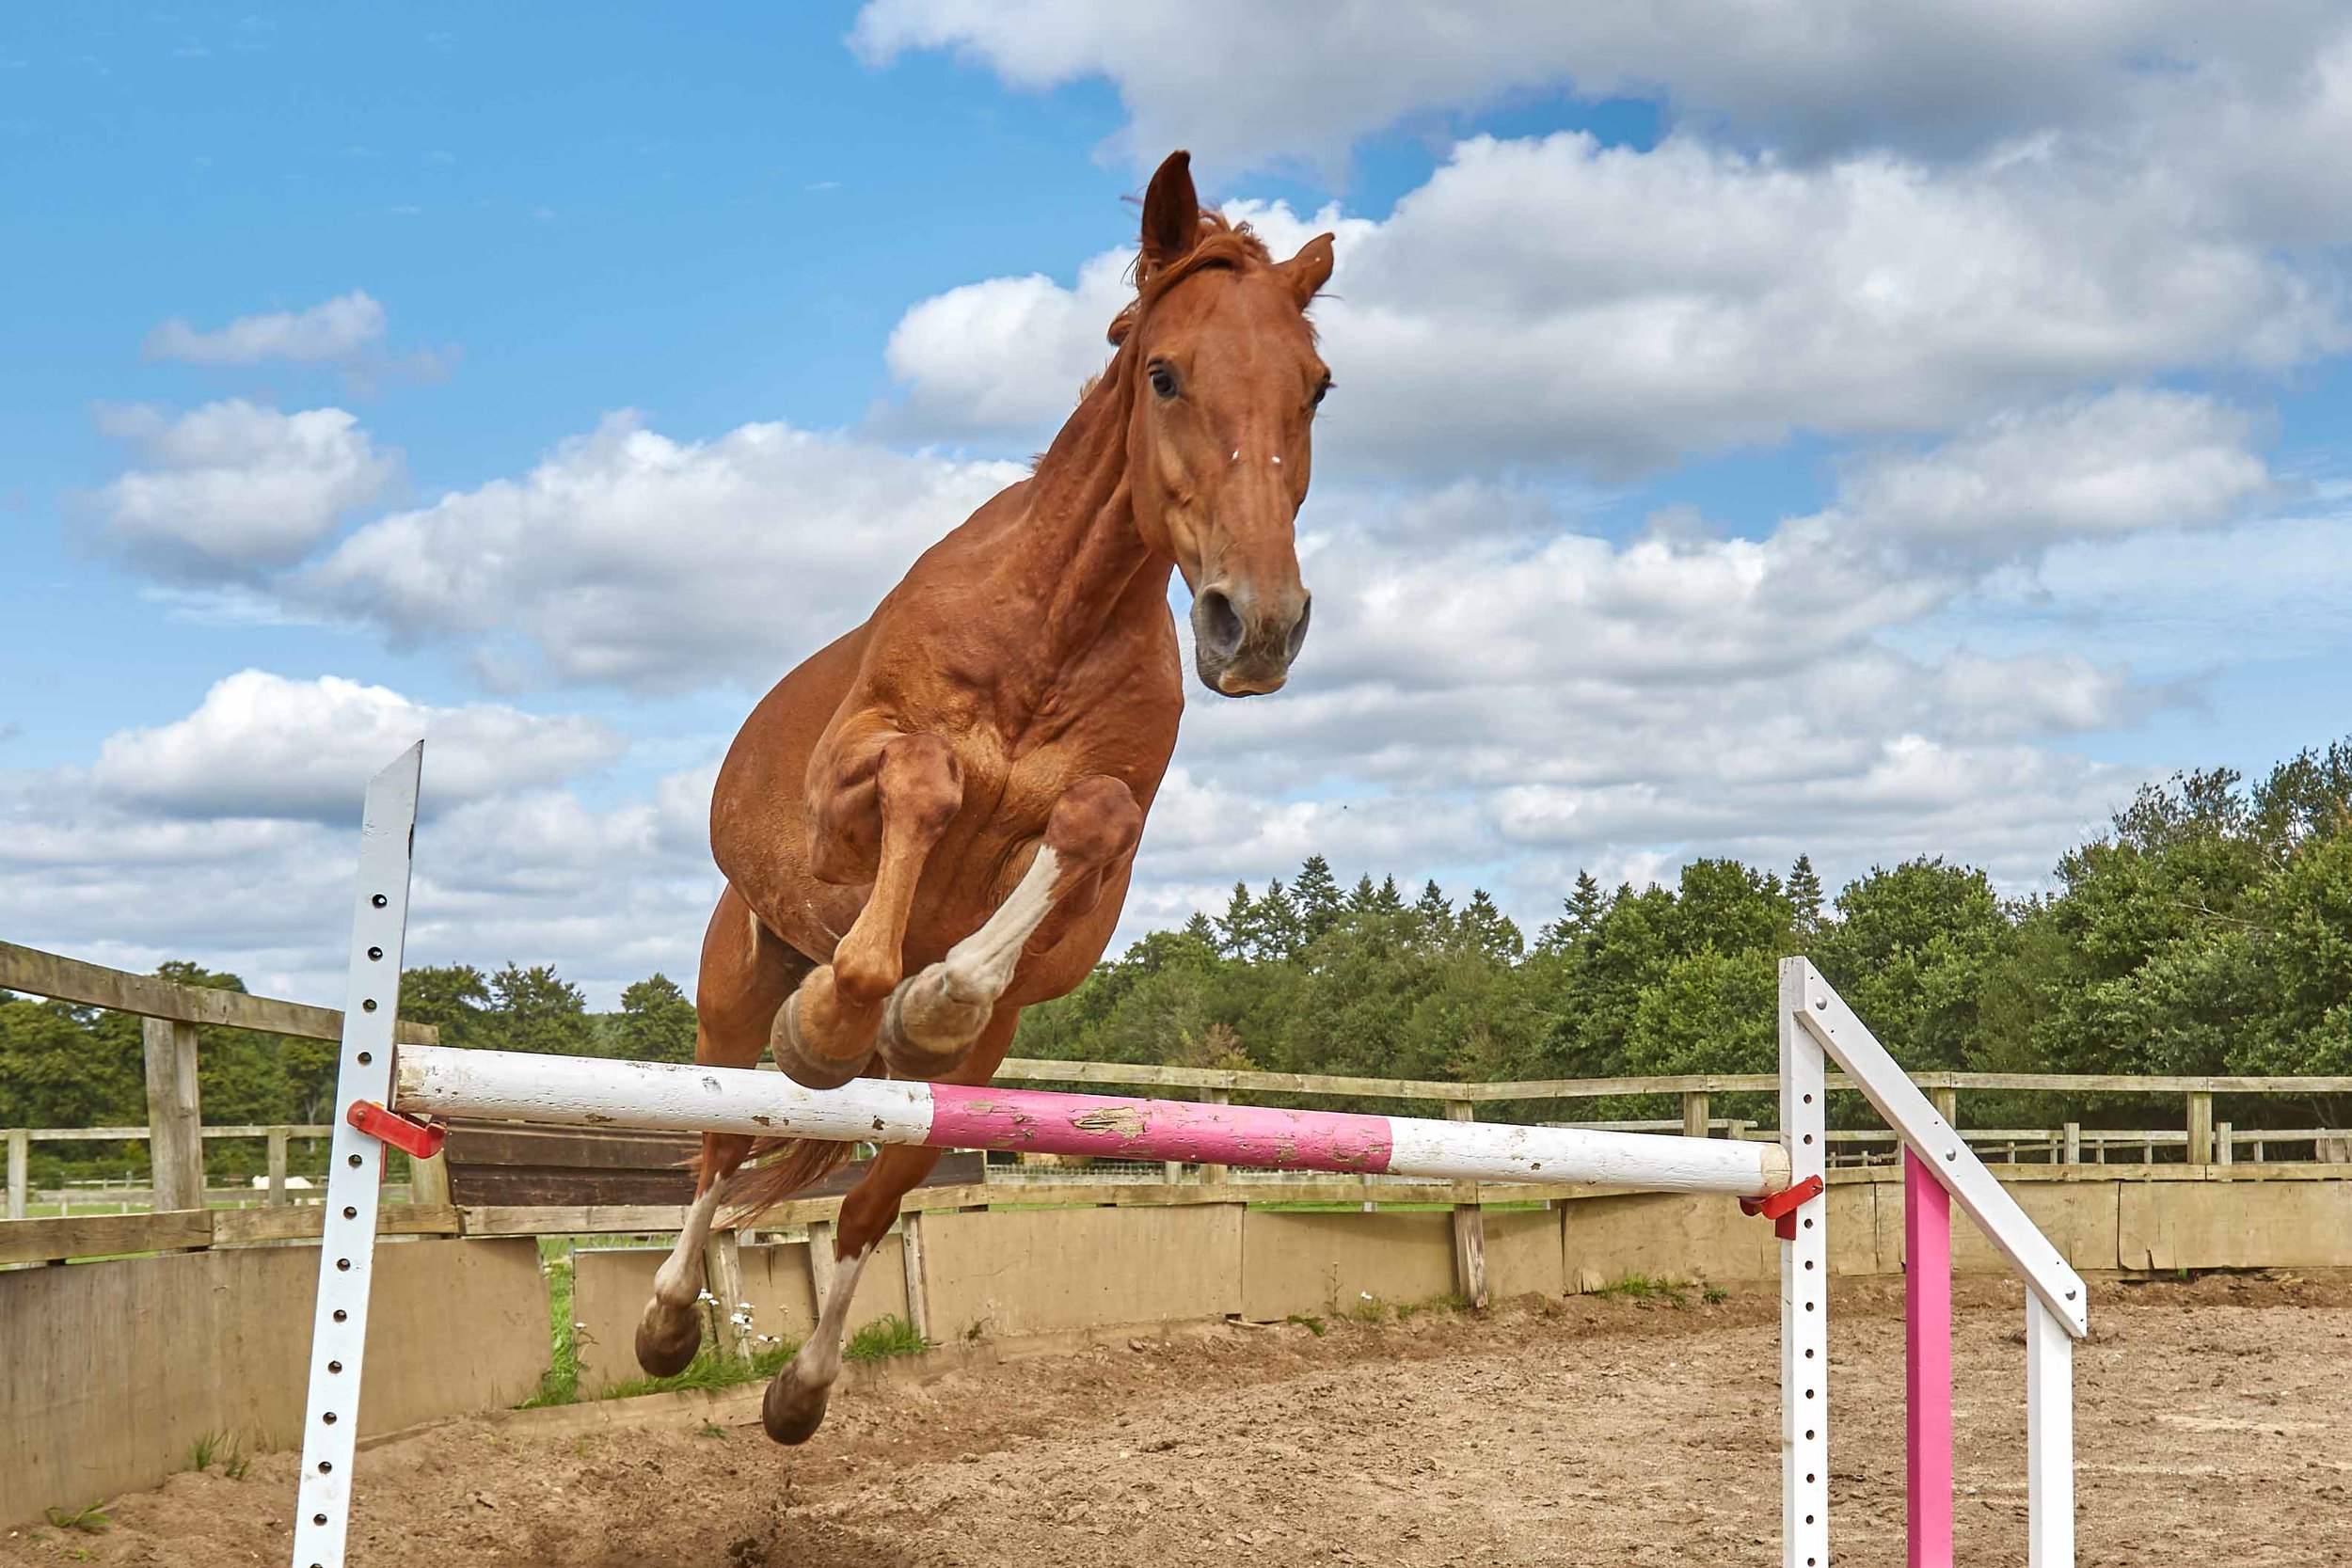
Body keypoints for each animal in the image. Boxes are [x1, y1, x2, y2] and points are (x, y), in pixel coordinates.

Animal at [635, 152, 1336, 1438]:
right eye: (1165, 372)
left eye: (1314, 389)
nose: (1256, 626)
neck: (1053, 622)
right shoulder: (847, 790)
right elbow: (927, 777)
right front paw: (840, 1011)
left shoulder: (1103, 844)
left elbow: (1082, 823)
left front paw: (931, 994)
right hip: (732, 991)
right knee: (718, 1146)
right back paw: (665, 1323)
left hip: (963, 1087)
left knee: (866, 1204)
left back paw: (800, 1389)